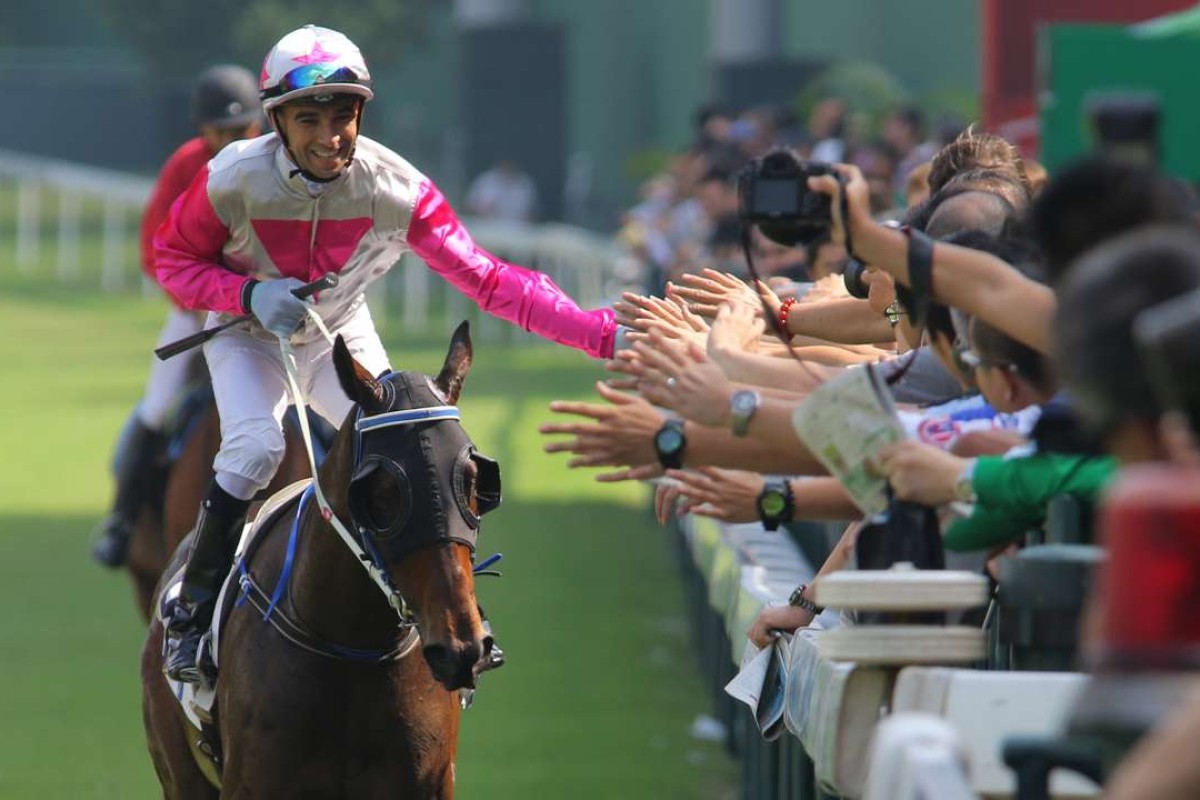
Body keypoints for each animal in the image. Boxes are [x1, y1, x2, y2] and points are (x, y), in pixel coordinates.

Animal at [141, 321, 496, 796]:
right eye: (381, 492)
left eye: (472, 480)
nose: (460, 648)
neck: (354, 645)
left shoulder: (430, 781)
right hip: (181, 775)